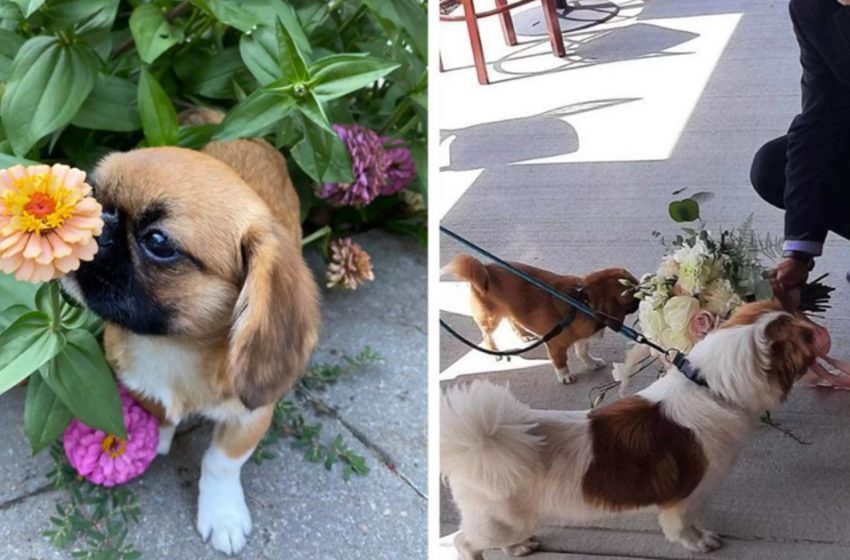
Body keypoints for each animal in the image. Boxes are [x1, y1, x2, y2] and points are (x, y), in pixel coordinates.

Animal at [63, 110, 320, 556]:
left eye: (158, 241)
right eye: (93, 194)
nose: (98, 219)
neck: (173, 345)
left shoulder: (250, 418)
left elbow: (219, 462)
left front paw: (223, 516)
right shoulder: (134, 380)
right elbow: (156, 407)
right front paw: (159, 436)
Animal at [440, 300, 824, 556]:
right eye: (805, 334)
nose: (818, 330)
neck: (709, 386)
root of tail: (478, 440)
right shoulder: (682, 498)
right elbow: (682, 526)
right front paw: (699, 542)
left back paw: (518, 548)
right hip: (500, 521)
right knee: (464, 542)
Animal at [444, 256, 636, 382]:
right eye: (633, 296)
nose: (641, 299)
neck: (583, 301)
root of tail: (486, 268)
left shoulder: (582, 338)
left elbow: (583, 352)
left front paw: (591, 363)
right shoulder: (556, 344)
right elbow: (560, 360)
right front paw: (565, 375)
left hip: (512, 309)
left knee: (513, 320)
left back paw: (523, 335)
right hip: (490, 319)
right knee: (487, 335)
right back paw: (494, 351)